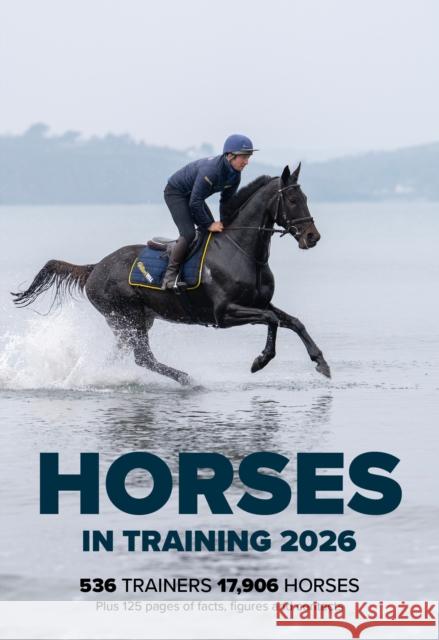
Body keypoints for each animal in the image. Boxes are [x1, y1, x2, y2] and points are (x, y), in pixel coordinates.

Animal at [12, 163, 331, 385]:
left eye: (305, 196)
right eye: (292, 200)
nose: (313, 236)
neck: (242, 250)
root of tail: (95, 267)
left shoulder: (259, 302)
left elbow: (293, 321)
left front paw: (321, 363)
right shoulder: (225, 313)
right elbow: (272, 320)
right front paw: (260, 361)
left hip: (133, 321)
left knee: (122, 355)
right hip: (126, 315)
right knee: (143, 357)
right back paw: (187, 378)